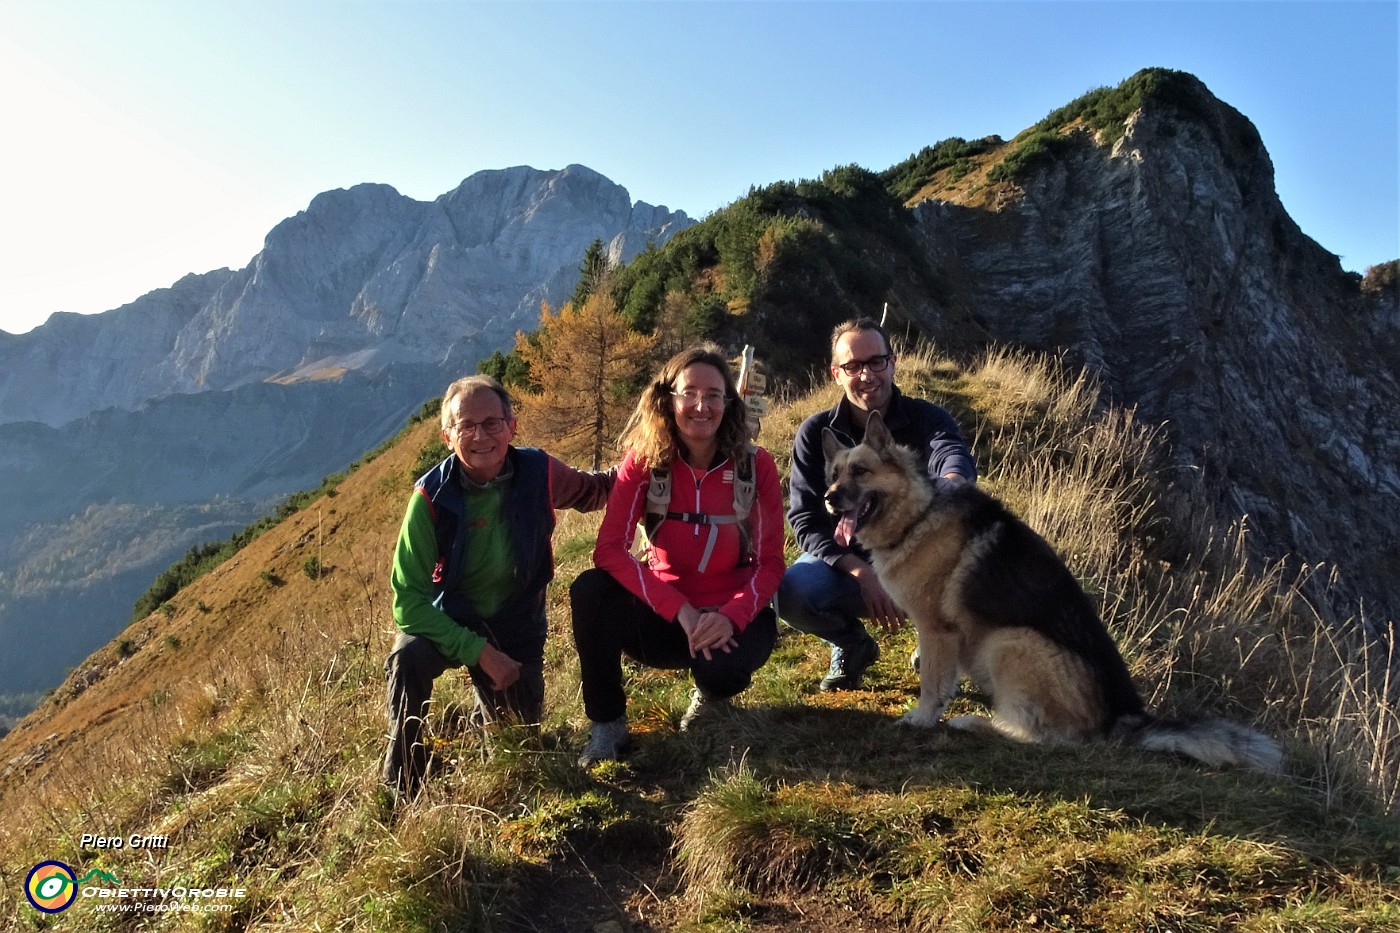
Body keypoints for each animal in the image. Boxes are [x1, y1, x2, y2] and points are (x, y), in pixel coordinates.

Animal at [823, 411, 1282, 767]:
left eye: (860, 471)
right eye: (833, 474)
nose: (828, 498)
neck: (916, 515)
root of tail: (1119, 719)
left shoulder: (937, 631)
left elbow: (933, 685)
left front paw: (921, 719)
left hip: (1009, 643)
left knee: (1044, 738)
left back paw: (974, 723)